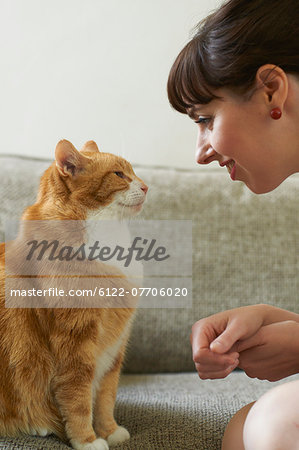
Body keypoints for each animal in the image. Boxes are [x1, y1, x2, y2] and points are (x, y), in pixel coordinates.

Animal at [0, 139, 149, 448]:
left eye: (132, 172)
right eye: (119, 174)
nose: (146, 187)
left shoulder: (114, 346)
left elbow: (106, 394)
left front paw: (108, 430)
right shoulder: (75, 341)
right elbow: (77, 396)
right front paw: (87, 440)